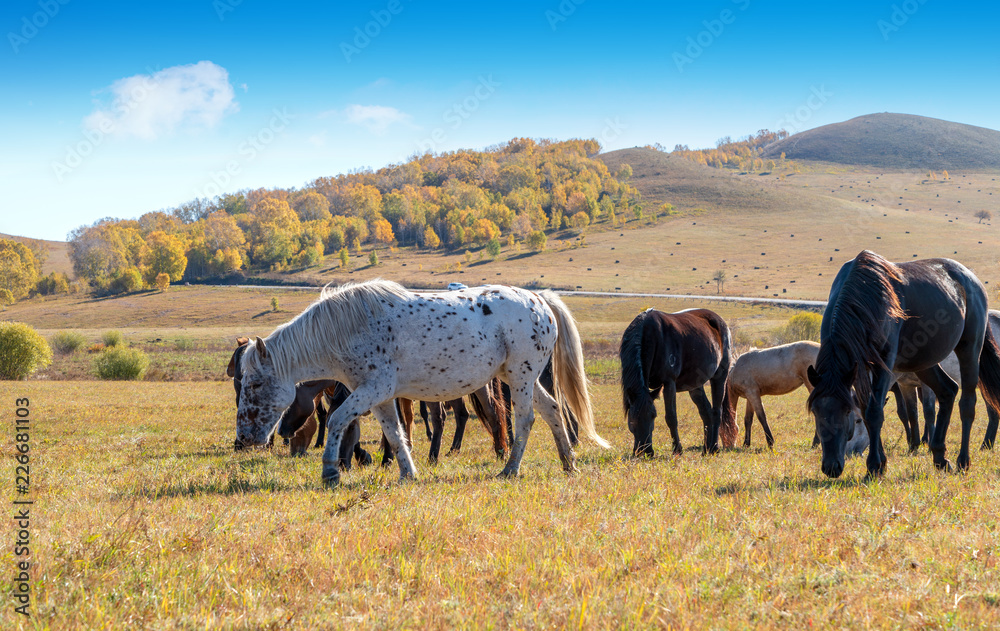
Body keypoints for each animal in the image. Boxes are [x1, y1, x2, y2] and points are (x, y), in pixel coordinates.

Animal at [234, 278, 608, 486]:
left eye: (254, 386)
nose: (244, 439)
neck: (348, 328)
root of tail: (540, 299)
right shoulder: (380, 396)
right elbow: (395, 433)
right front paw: (407, 473)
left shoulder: (372, 390)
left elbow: (338, 420)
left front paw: (330, 473)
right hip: (516, 376)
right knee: (553, 410)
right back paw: (568, 463)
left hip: (520, 377)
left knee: (526, 418)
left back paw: (510, 469)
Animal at [620, 308, 740, 456]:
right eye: (632, 418)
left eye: (653, 416)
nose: (645, 451)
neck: (649, 335)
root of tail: (720, 321)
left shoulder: (669, 383)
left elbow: (671, 417)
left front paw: (677, 449)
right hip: (695, 385)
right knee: (706, 413)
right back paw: (706, 448)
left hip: (719, 377)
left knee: (717, 412)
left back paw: (714, 448)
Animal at [804, 248, 1000, 478]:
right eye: (816, 412)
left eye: (846, 412)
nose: (831, 467)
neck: (863, 299)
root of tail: (970, 278)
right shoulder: (860, 370)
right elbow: (870, 409)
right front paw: (881, 462)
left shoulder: (883, 365)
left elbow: (874, 412)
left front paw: (874, 466)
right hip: (925, 362)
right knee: (947, 391)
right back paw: (939, 457)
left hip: (969, 350)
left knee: (967, 404)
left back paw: (963, 460)